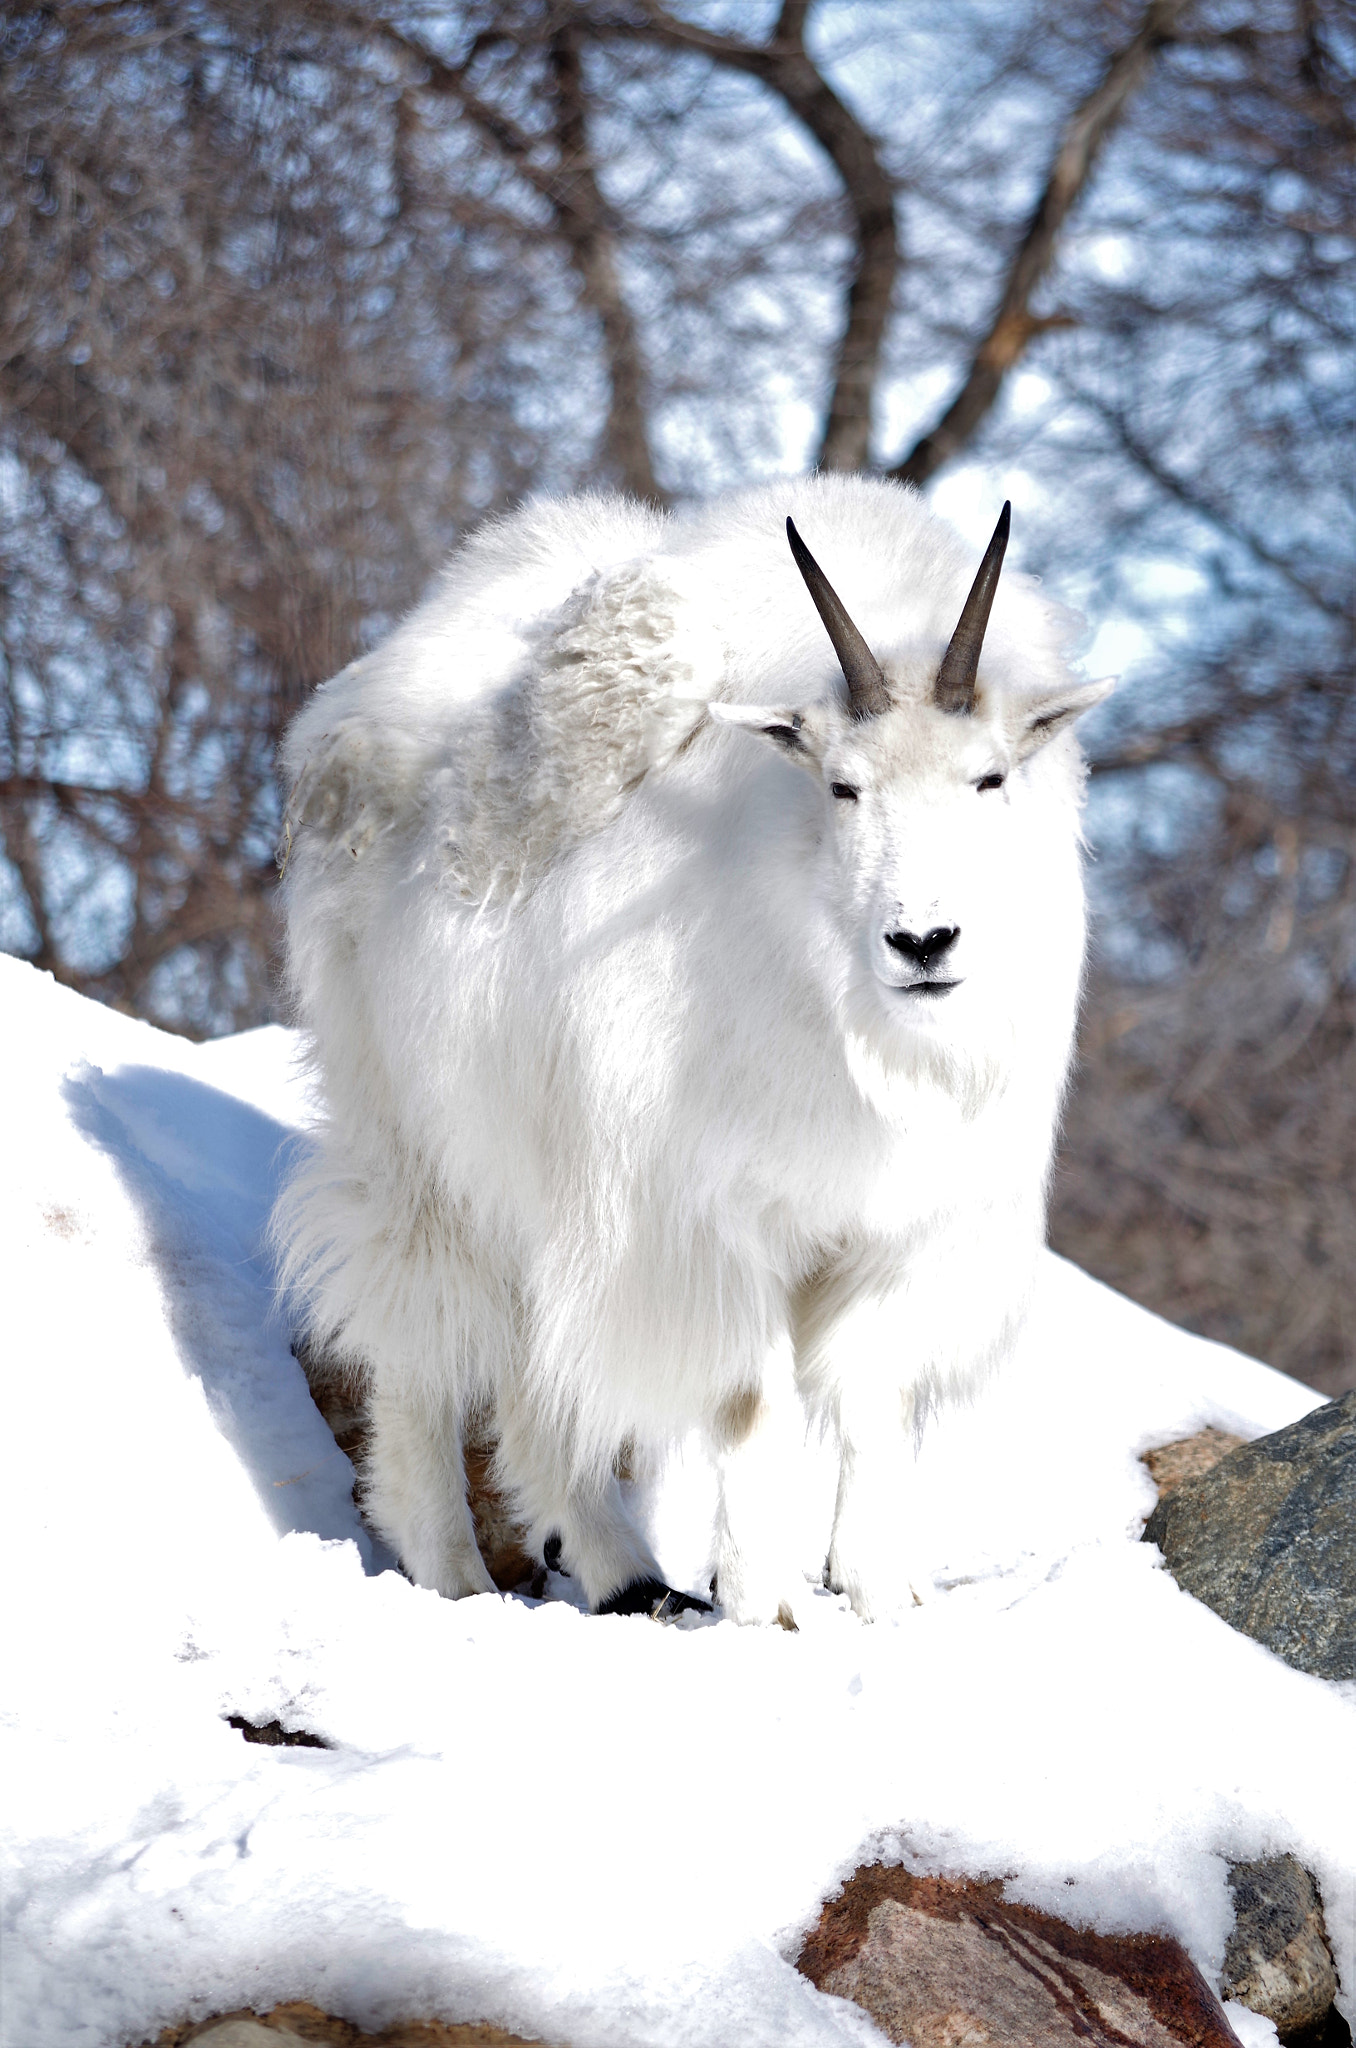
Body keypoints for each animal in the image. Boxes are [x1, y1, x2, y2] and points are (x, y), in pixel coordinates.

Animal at [276, 471, 1114, 1622]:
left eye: (989, 780)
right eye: (842, 786)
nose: (923, 942)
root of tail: (348, 706)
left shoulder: (903, 1226)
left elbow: (873, 1396)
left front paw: (876, 1591)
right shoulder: (701, 1223)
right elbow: (751, 1401)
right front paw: (770, 1604)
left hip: (539, 1182)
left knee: (540, 1375)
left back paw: (621, 1567)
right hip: (415, 1147)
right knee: (421, 1334)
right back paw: (450, 1569)